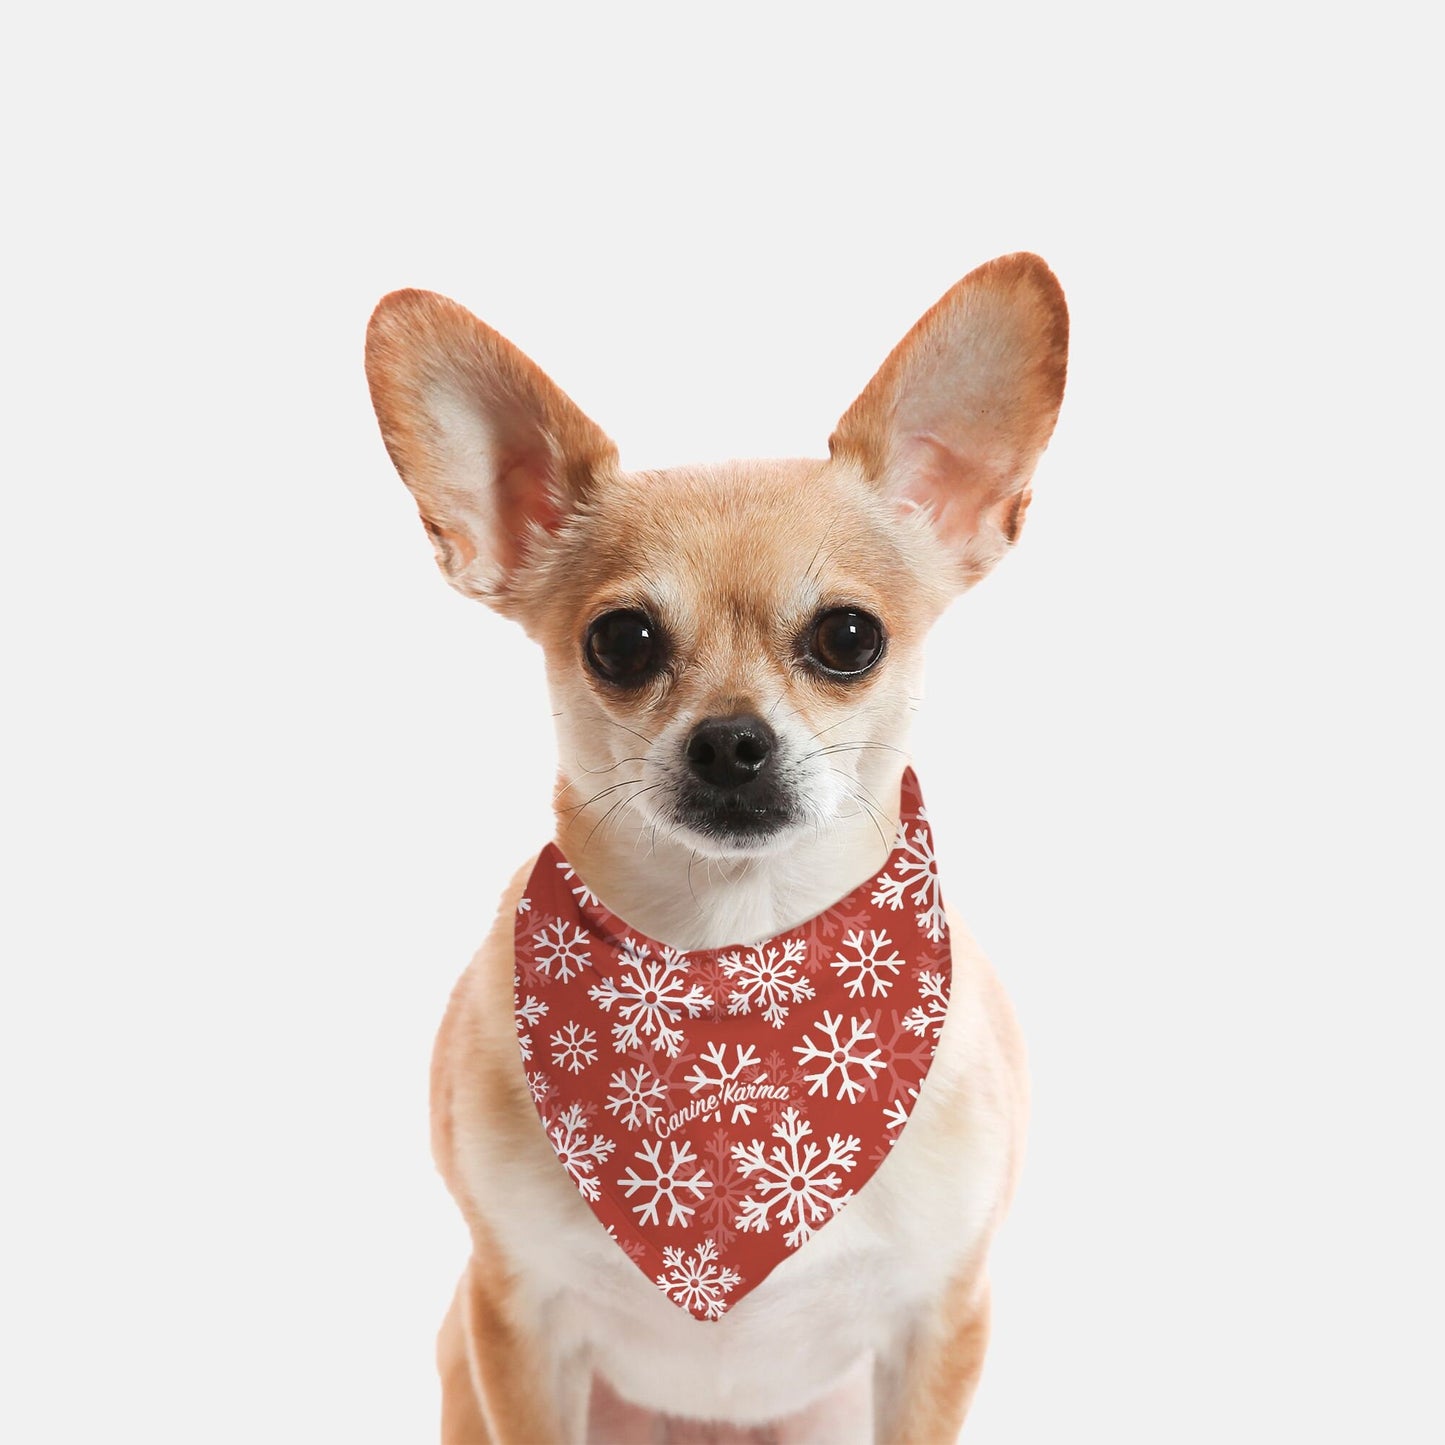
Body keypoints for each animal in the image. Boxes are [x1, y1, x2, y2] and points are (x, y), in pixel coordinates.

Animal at [367, 254, 1069, 1439]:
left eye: (847, 636)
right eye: (620, 640)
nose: (732, 739)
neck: (732, 962)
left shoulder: (939, 1317)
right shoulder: (514, 1318)